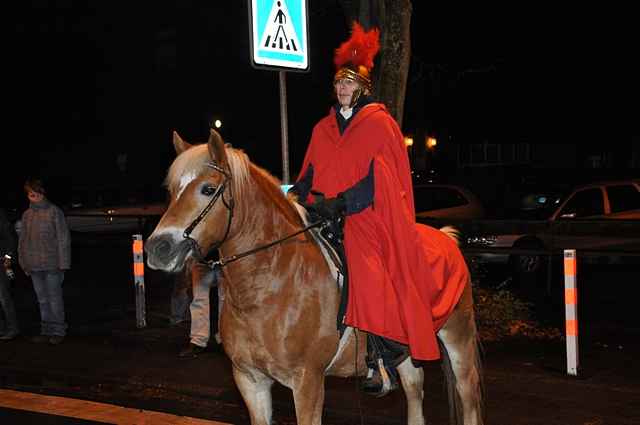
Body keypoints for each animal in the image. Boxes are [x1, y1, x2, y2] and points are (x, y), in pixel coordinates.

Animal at [146, 129, 484, 424]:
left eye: (208, 189)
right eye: (172, 191)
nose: (158, 248)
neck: (267, 287)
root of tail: (446, 239)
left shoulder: (307, 382)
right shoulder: (249, 380)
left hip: (458, 337)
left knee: (468, 399)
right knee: (415, 389)